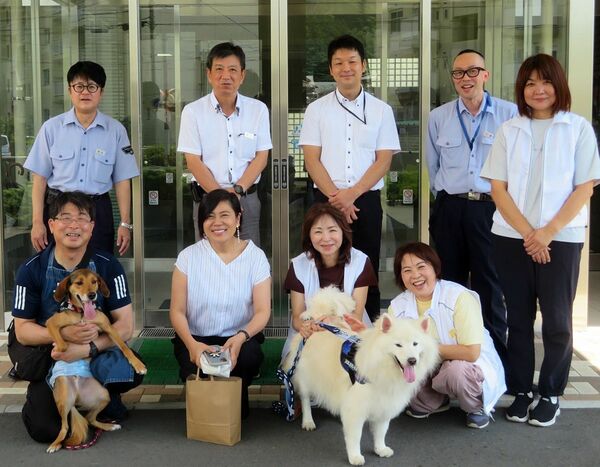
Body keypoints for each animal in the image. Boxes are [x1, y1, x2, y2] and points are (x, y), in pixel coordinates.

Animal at [44, 268, 148, 456]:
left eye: (94, 281)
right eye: (79, 283)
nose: (92, 295)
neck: (82, 314)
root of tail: (76, 396)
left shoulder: (109, 328)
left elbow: (124, 347)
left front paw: (138, 365)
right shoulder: (52, 323)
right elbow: (62, 344)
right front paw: (60, 351)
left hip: (103, 396)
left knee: (89, 418)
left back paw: (109, 426)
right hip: (63, 397)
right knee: (64, 427)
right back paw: (55, 444)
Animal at [284, 312, 438, 466]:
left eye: (415, 343)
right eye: (398, 345)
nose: (412, 360)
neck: (381, 369)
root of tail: (314, 325)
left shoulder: (384, 403)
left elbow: (381, 431)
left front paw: (380, 449)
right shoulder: (356, 409)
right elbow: (355, 436)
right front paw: (355, 457)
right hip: (305, 379)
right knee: (305, 400)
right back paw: (308, 422)